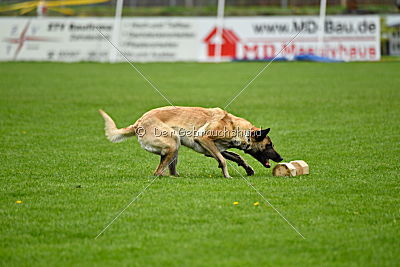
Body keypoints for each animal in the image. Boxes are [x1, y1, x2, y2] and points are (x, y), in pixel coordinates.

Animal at [98, 106, 282, 178]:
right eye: (269, 145)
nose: (281, 159)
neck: (235, 126)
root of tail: (138, 122)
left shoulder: (214, 149)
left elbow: (236, 156)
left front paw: (248, 169)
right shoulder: (205, 139)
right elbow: (223, 160)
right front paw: (227, 175)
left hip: (174, 148)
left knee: (168, 170)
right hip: (174, 141)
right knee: (158, 172)